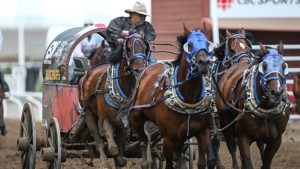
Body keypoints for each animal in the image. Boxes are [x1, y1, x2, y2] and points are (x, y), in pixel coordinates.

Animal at [78, 33, 149, 168]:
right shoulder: (104, 119)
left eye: (144, 47)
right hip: (88, 113)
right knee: (98, 140)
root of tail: (85, 76)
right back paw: (104, 161)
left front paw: (120, 160)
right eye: (128, 48)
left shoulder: (123, 124)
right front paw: (111, 161)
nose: (139, 69)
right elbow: (113, 148)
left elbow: (120, 148)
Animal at [130, 25, 214, 169]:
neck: (189, 100)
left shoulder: (202, 131)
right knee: (144, 141)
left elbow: (205, 161)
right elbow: (169, 163)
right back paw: (146, 162)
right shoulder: (168, 137)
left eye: (207, 44)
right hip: (137, 117)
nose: (204, 62)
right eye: (189, 45)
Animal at [216, 41, 290, 169]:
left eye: (284, 65)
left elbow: (266, 163)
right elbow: (247, 161)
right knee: (232, 146)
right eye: (264, 65)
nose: (276, 92)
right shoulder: (243, 137)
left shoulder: (276, 141)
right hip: (225, 121)